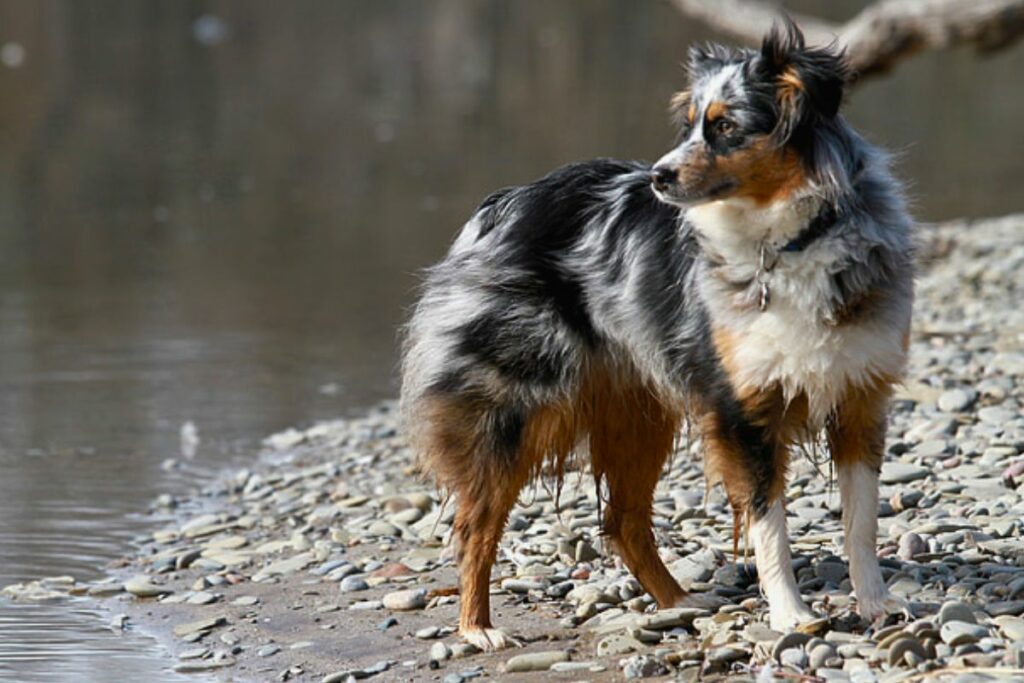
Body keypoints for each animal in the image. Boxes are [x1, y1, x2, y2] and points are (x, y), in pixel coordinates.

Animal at [397, 18, 913, 651]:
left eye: (725, 126)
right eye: (688, 123)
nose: (657, 176)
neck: (790, 240)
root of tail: (501, 205)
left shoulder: (860, 396)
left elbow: (860, 521)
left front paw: (876, 604)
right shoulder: (743, 412)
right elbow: (769, 525)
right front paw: (791, 614)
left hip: (637, 413)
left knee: (622, 520)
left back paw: (679, 602)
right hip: (513, 408)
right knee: (477, 523)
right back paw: (478, 628)